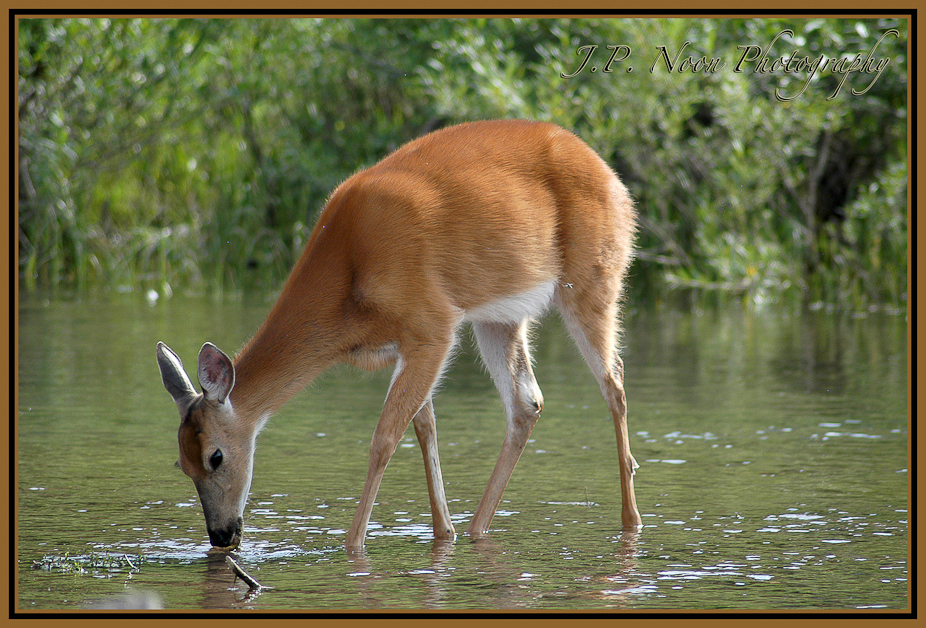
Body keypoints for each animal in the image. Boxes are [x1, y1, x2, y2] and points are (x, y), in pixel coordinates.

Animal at [156, 119, 640, 548]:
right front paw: (443, 533)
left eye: (216, 456)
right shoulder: (404, 347)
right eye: (180, 464)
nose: (222, 536)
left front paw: (353, 545)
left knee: (614, 381)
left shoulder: (433, 325)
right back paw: (476, 530)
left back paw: (630, 519)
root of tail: (613, 180)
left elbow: (384, 440)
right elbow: (424, 428)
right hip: (500, 316)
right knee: (528, 402)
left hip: (593, 280)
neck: (348, 278)